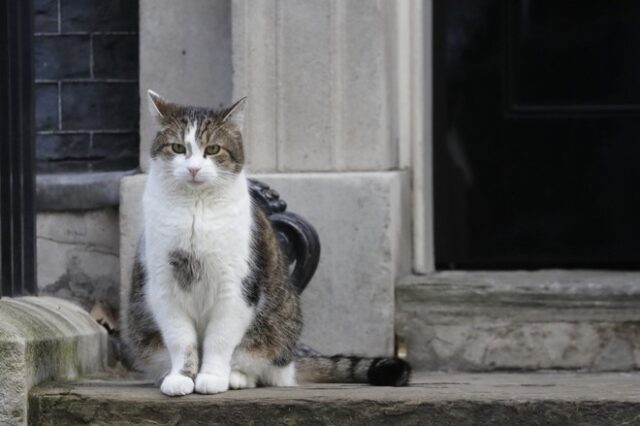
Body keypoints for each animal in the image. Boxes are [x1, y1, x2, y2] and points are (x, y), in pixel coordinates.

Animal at [124, 90, 410, 396]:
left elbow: (219, 339)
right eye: (178, 147)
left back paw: (237, 377)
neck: (195, 208)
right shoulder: (163, 284)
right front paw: (181, 377)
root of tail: (292, 359)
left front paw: (212, 377)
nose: (193, 168)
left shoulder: (236, 286)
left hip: (275, 327)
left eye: (213, 149)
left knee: (266, 369)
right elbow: (181, 340)